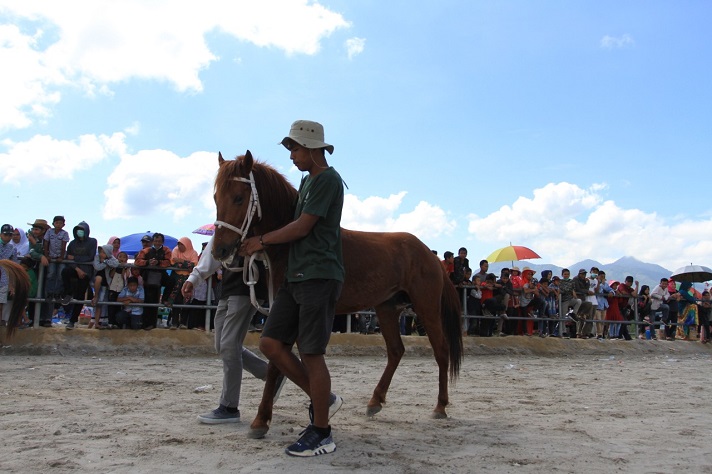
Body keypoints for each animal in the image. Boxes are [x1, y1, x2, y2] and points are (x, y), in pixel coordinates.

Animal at [211, 152, 462, 436]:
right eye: (216, 197)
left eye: (239, 198)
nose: (219, 250)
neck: (289, 245)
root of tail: (430, 254)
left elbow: (276, 365)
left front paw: (262, 418)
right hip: (386, 308)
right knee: (396, 351)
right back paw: (375, 401)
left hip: (426, 308)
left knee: (441, 350)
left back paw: (440, 406)